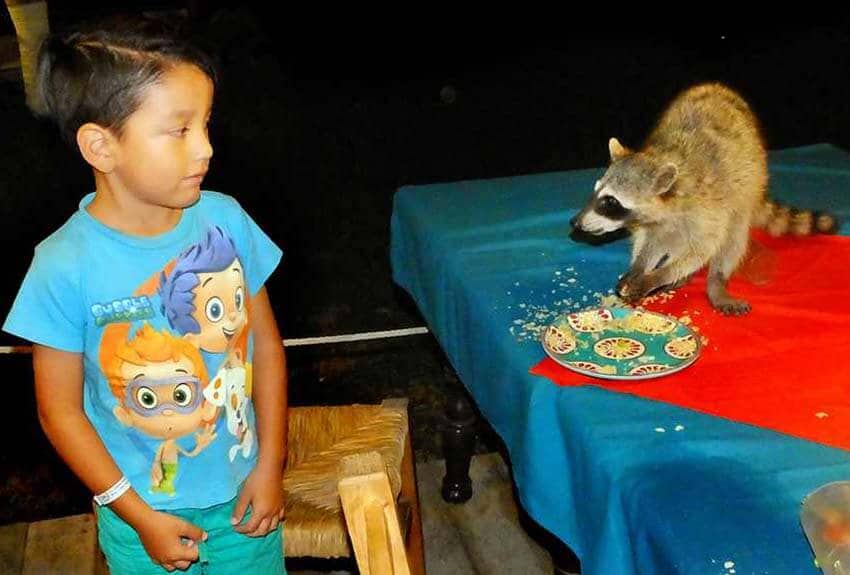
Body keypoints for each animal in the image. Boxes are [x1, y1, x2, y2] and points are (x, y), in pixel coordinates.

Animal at [568, 82, 836, 316]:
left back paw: (715, 280)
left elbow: (704, 249)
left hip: (747, 187)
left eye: (610, 202)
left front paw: (659, 275)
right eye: (596, 191)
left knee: (733, 237)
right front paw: (639, 267)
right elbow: (648, 240)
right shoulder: (656, 219)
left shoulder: (707, 208)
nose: (575, 222)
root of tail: (718, 87)